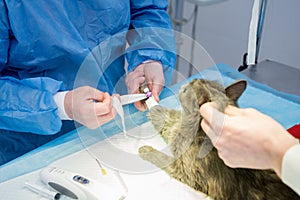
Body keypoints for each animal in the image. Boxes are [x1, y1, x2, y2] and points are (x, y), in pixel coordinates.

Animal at [139, 78, 300, 200]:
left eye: (187, 90)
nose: (186, 83)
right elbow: (170, 120)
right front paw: (146, 94)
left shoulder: (185, 172)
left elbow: (161, 157)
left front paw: (145, 149)